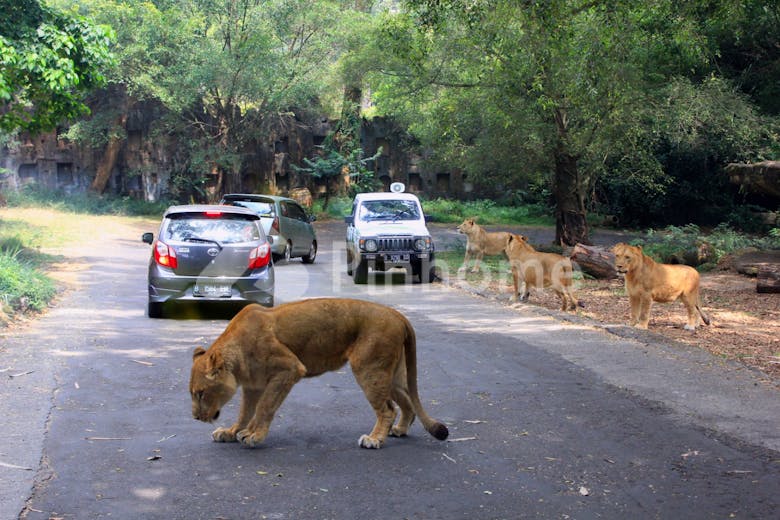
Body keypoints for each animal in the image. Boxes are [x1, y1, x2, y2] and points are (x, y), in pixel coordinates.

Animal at [187, 298, 450, 448]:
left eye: (200, 393)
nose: (196, 418)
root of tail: (398, 315)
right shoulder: (253, 385)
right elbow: (245, 412)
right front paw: (232, 432)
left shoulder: (290, 368)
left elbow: (265, 407)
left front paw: (254, 435)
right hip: (389, 374)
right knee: (407, 403)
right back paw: (400, 430)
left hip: (369, 368)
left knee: (387, 409)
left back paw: (374, 439)